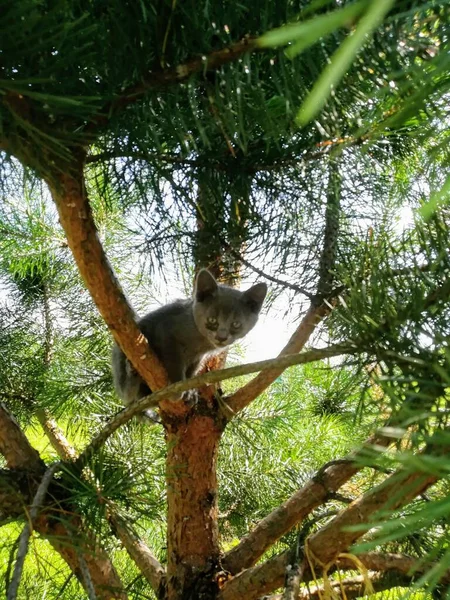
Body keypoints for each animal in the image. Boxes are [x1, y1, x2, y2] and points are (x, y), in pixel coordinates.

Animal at [111, 270, 268, 414]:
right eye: (212, 320)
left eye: (236, 324)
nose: (221, 337)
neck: (201, 342)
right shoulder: (167, 332)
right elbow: (174, 362)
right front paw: (177, 391)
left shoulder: (199, 358)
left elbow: (192, 372)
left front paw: (190, 392)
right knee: (127, 395)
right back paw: (132, 372)